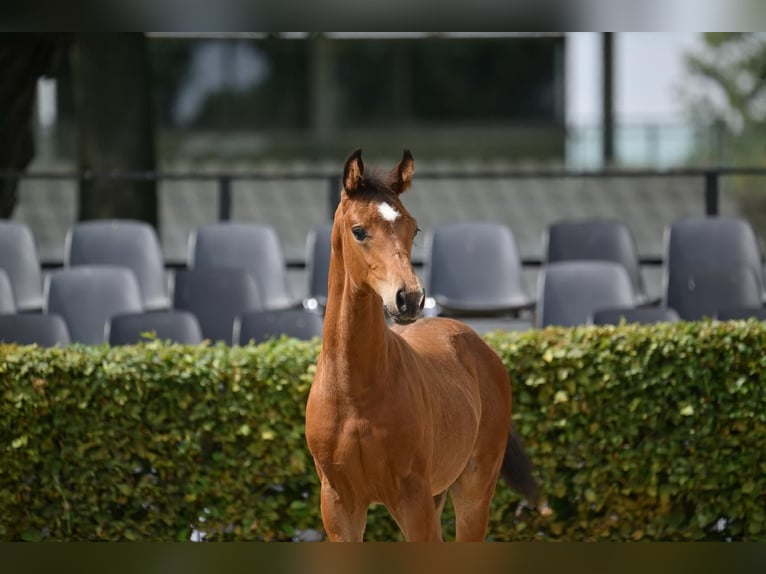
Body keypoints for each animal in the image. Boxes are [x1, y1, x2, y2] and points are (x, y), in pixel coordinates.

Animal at [305, 149, 542, 542]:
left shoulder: (411, 498)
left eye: (413, 228)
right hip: (436, 496)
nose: (410, 298)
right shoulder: (338, 506)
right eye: (359, 231)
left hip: (473, 488)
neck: (354, 393)